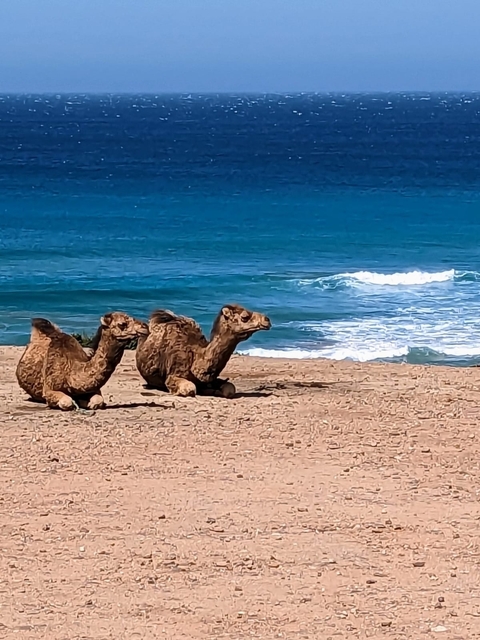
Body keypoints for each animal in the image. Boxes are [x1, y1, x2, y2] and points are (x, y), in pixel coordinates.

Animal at [16, 312, 149, 410]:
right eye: (122, 324)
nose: (145, 327)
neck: (70, 373)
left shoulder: (93, 388)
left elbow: (98, 401)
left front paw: (88, 403)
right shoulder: (49, 389)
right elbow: (67, 402)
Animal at [135, 304, 271, 398]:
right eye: (244, 317)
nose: (267, 320)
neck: (195, 357)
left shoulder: (211, 378)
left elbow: (230, 388)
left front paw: (213, 390)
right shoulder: (173, 374)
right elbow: (190, 388)